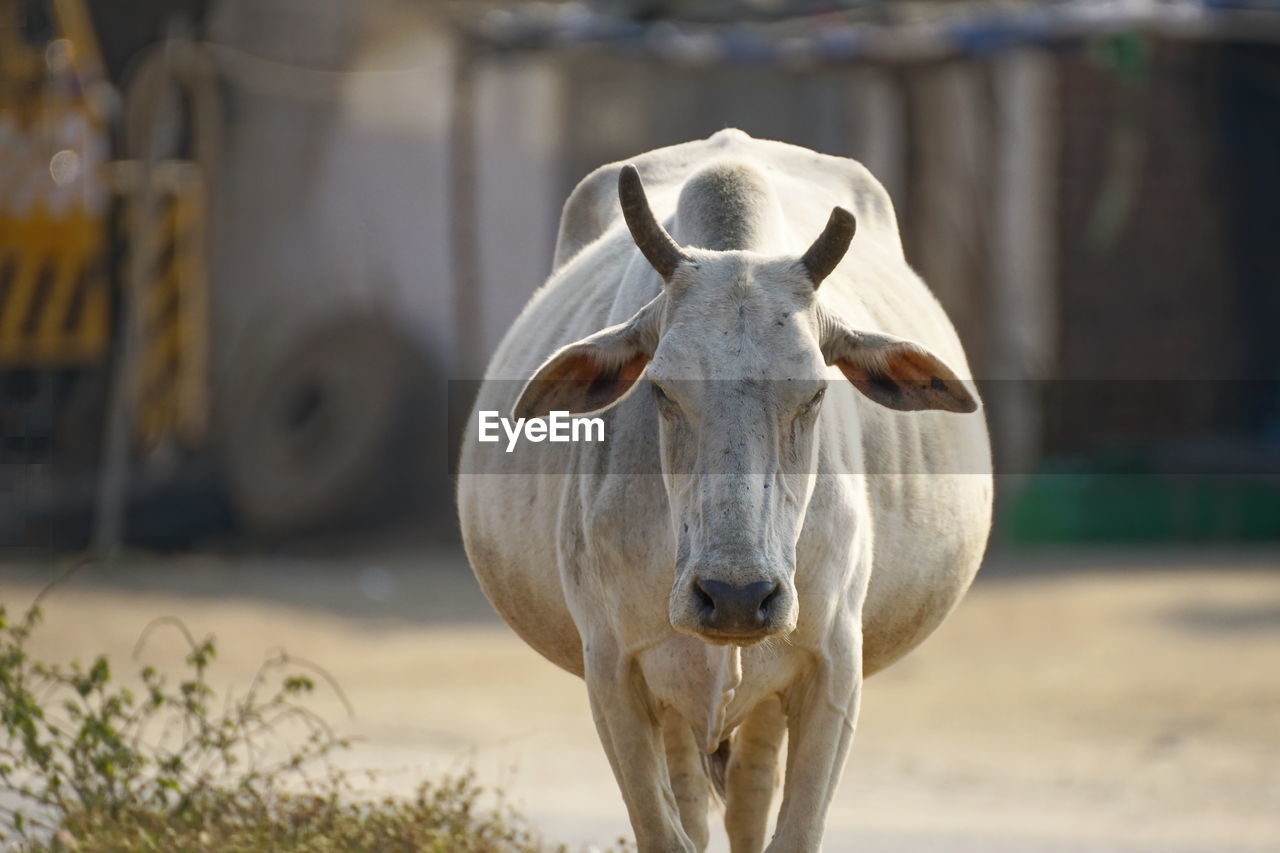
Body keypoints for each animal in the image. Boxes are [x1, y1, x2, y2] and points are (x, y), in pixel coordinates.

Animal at [455, 128, 993, 850]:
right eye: (660, 388)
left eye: (815, 391)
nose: (737, 596)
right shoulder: (613, 673)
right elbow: (664, 830)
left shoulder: (833, 670)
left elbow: (790, 830)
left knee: (748, 798)